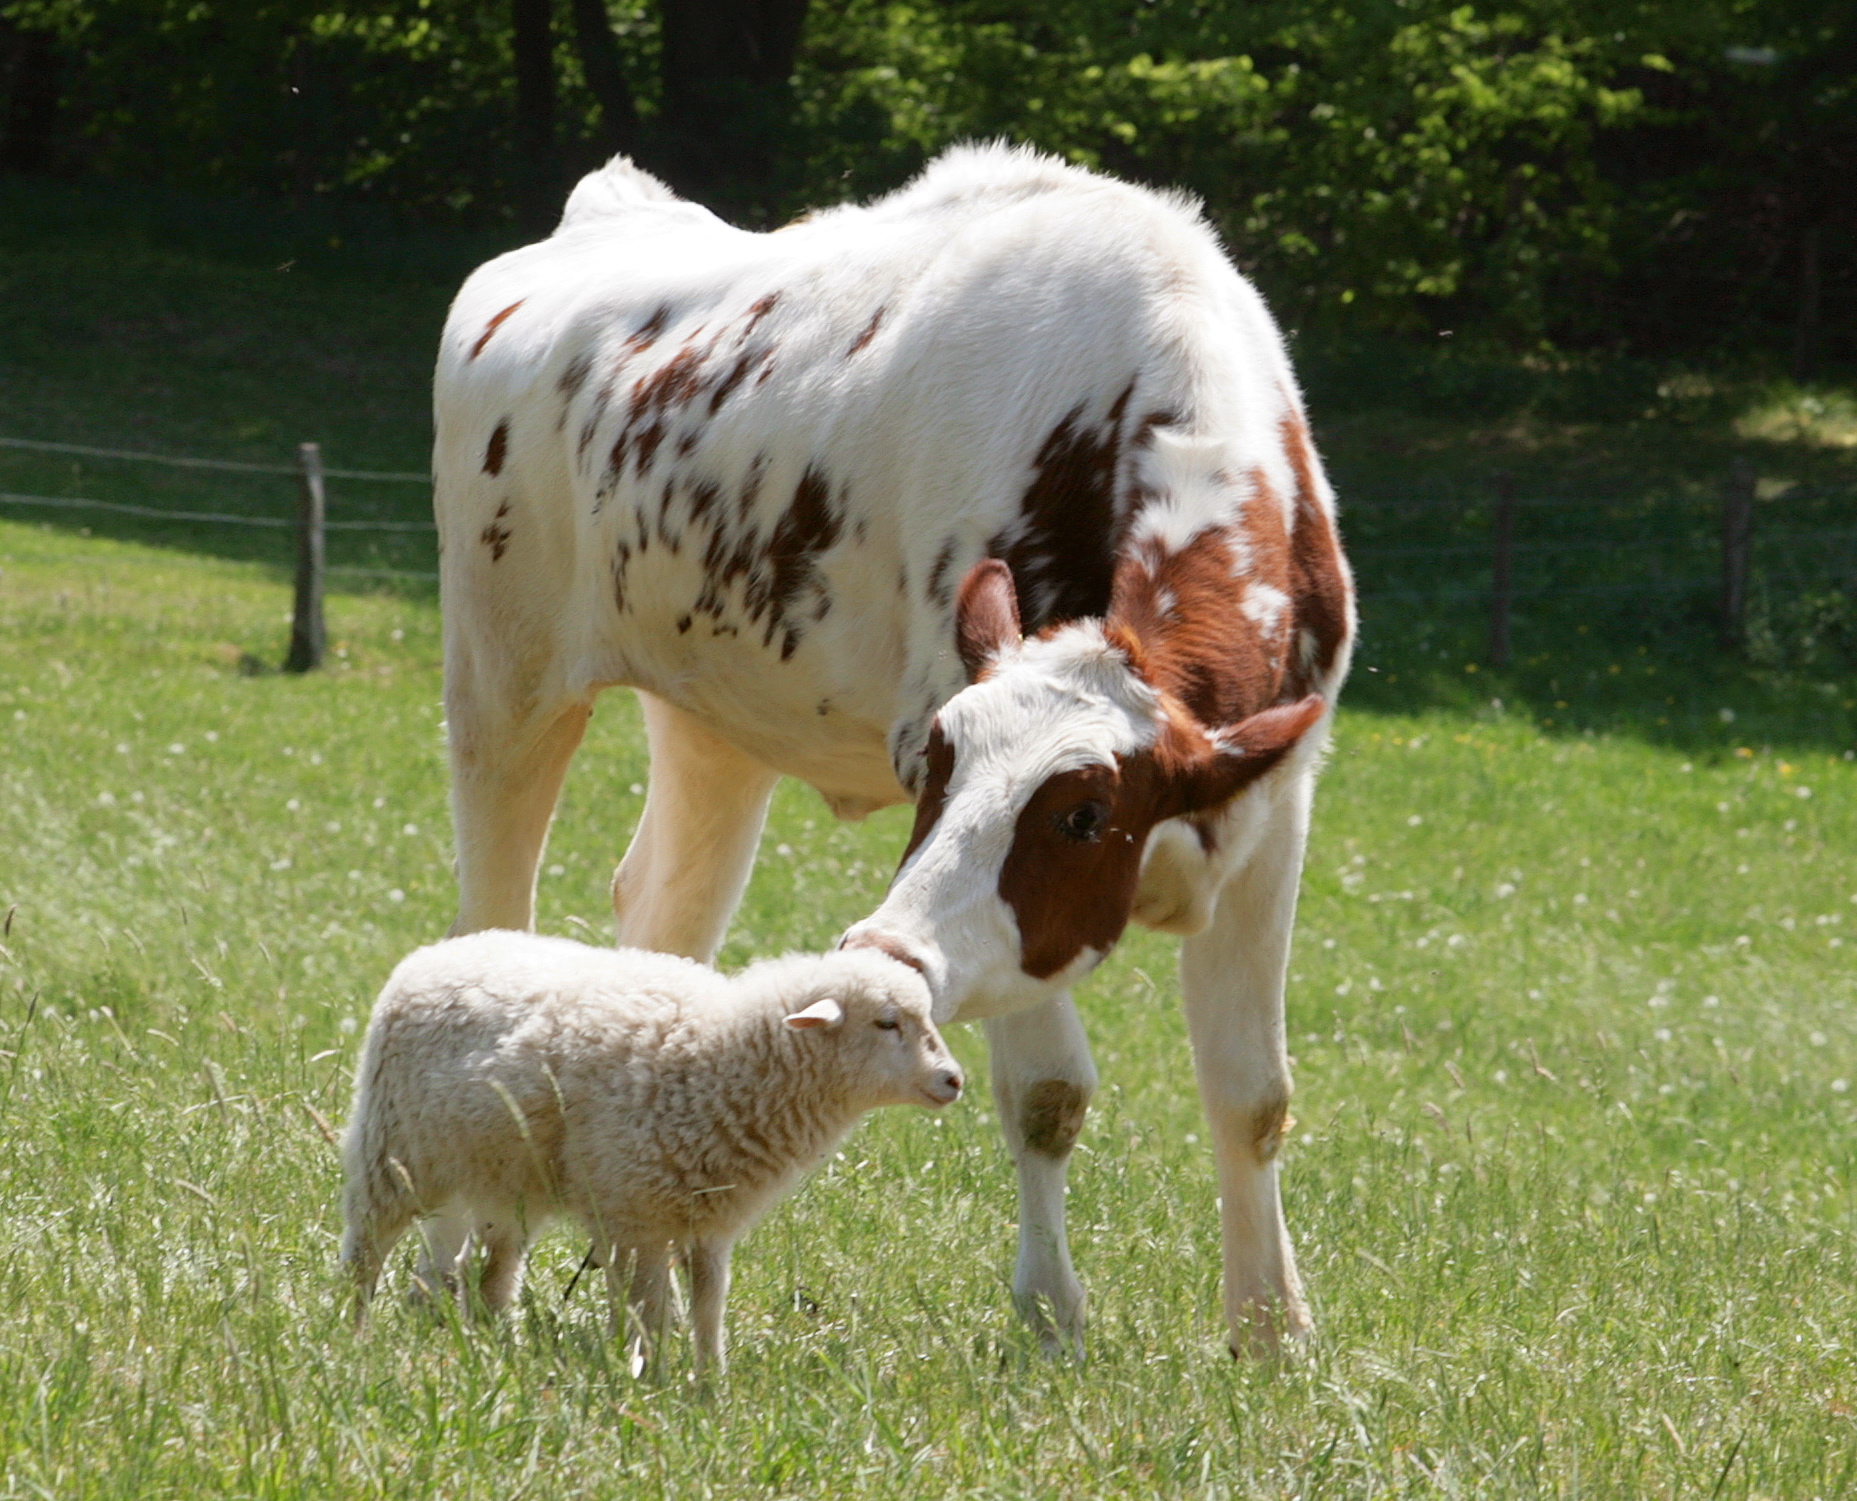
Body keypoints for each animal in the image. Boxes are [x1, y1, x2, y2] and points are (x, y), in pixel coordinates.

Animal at [339, 936, 965, 1374]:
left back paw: (492, 1343)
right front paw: (647, 1375)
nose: (954, 1079)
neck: (723, 1058)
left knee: (490, 1272)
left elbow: (707, 1308)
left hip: (501, 1179)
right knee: (366, 1249)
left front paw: (710, 1387)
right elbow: (650, 1311)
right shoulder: (633, 1217)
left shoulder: (706, 1223)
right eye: (887, 1022)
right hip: (390, 1151)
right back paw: (353, 1335)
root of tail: (436, 953)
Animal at [430, 143, 1351, 1359]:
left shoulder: (1269, 813)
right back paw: (452, 1266)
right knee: (490, 916)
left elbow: (1252, 1094)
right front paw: (1051, 1316)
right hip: (506, 680)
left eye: (1083, 814)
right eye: (935, 767)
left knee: (662, 914)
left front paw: (1271, 1332)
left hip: (716, 724)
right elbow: (1048, 1094)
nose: (884, 947)